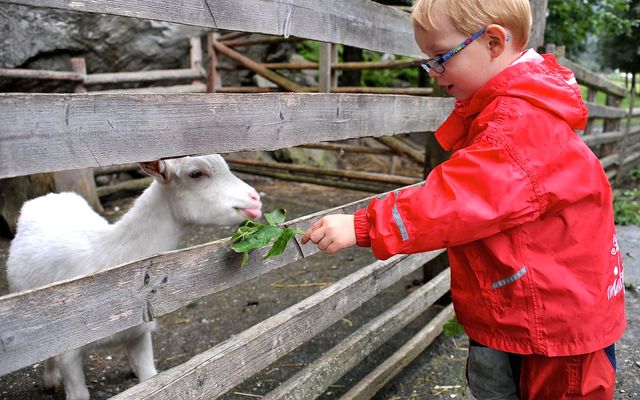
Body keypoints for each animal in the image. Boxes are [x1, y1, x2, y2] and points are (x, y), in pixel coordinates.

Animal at [6, 154, 262, 400]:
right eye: (196, 173)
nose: (255, 199)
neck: (111, 259)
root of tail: (48, 196)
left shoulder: (140, 334)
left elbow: (150, 380)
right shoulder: (69, 348)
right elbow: (77, 391)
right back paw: (50, 380)